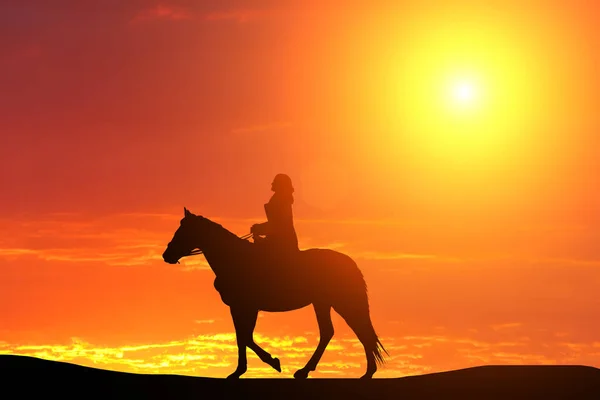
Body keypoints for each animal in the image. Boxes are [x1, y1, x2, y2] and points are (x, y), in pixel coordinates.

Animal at [163, 208, 390, 380]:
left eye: (183, 231)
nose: (167, 255)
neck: (235, 259)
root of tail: (348, 261)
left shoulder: (247, 306)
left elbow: (245, 337)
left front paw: (273, 362)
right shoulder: (238, 307)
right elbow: (241, 337)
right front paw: (239, 371)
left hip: (342, 302)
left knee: (359, 330)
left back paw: (366, 373)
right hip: (322, 302)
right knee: (331, 332)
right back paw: (307, 371)